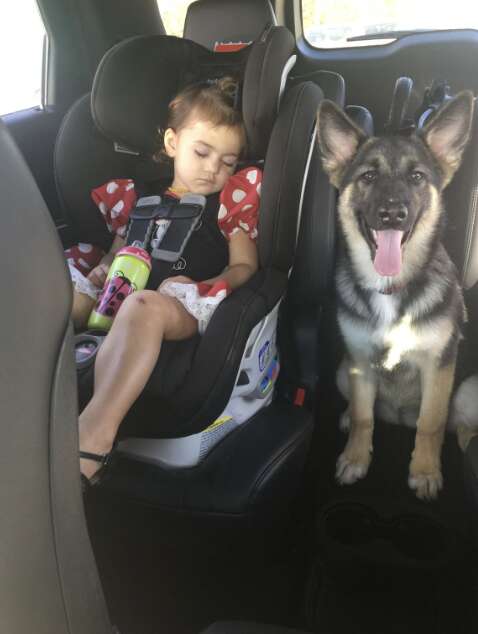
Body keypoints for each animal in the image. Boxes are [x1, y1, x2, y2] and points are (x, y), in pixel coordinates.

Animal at [318, 92, 474, 498]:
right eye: (368, 177)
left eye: (416, 177)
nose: (392, 214)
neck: (391, 288)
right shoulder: (358, 360)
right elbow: (363, 417)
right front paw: (355, 458)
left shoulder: (438, 365)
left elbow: (431, 423)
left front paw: (425, 471)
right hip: (342, 370)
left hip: (468, 391)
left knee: (455, 424)